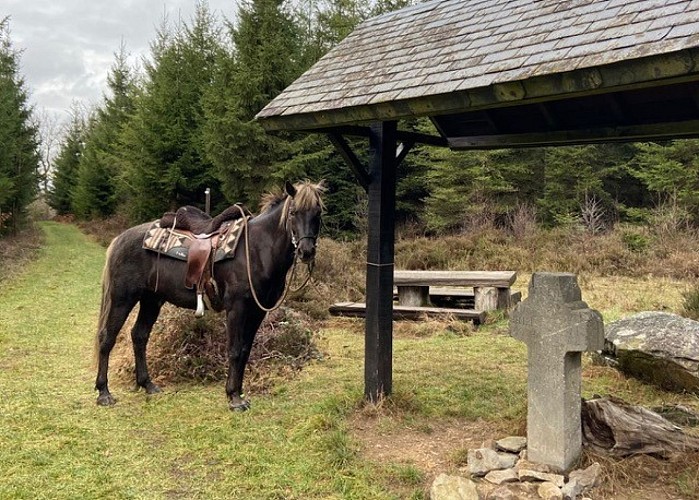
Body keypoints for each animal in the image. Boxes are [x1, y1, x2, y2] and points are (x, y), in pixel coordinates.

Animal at [95, 180, 326, 410]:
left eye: (318, 213)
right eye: (293, 212)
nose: (306, 251)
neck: (257, 250)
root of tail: (120, 239)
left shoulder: (257, 311)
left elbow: (245, 350)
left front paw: (239, 393)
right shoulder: (236, 308)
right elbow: (234, 350)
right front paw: (233, 397)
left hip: (151, 300)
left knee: (139, 335)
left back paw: (147, 384)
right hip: (122, 298)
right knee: (107, 338)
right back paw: (104, 393)